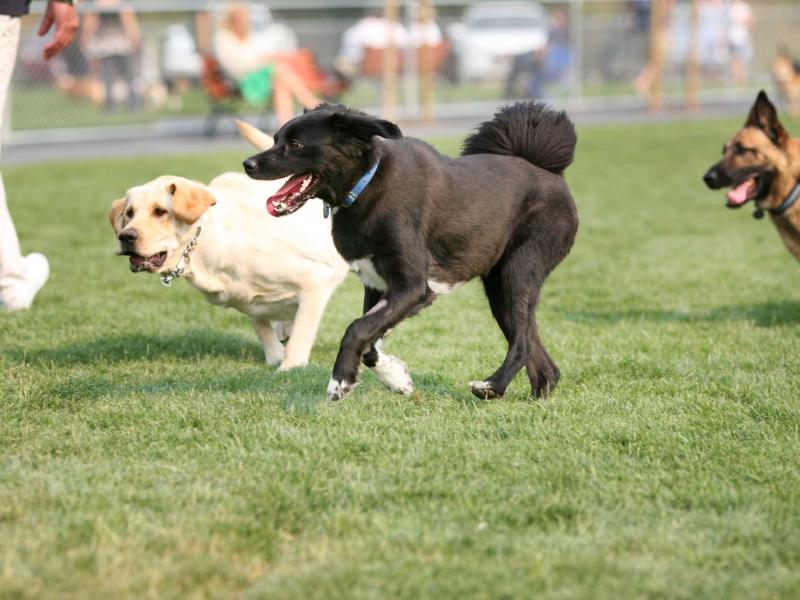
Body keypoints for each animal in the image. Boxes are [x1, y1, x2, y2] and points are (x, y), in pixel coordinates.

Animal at [241, 102, 580, 404]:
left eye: (295, 144)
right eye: (275, 138)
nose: (247, 164)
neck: (365, 185)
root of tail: (550, 172)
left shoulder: (414, 286)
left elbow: (356, 329)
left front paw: (340, 381)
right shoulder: (378, 285)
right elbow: (370, 342)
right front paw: (397, 379)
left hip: (517, 271)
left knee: (522, 344)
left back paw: (491, 387)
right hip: (499, 288)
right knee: (539, 356)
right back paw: (534, 396)